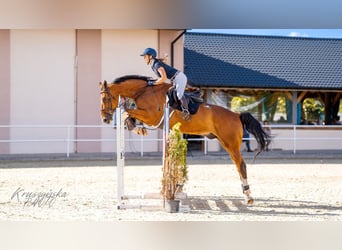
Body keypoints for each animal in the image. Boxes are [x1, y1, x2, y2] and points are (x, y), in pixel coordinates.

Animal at [99, 74, 270, 205]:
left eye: (105, 98)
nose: (105, 119)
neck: (143, 91)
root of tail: (236, 114)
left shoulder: (152, 116)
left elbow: (127, 111)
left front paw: (136, 126)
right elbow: (129, 116)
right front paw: (139, 129)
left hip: (230, 144)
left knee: (241, 165)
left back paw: (249, 197)